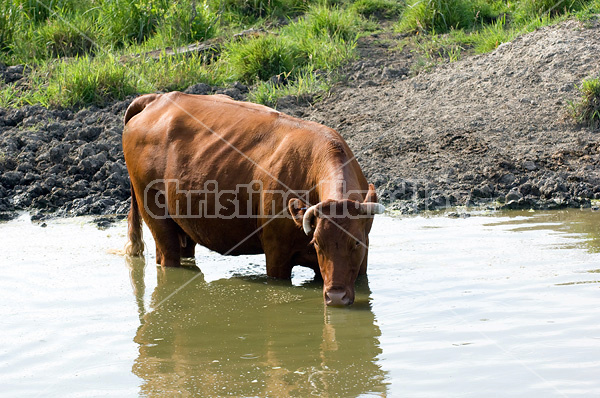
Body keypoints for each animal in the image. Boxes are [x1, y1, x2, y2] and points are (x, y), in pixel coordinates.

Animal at [122, 92, 384, 304]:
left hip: (184, 225)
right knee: (168, 256)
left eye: (356, 243)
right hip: (155, 215)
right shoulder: (277, 255)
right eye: (317, 243)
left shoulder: (362, 260)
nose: (336, 297)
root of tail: (158, 98)